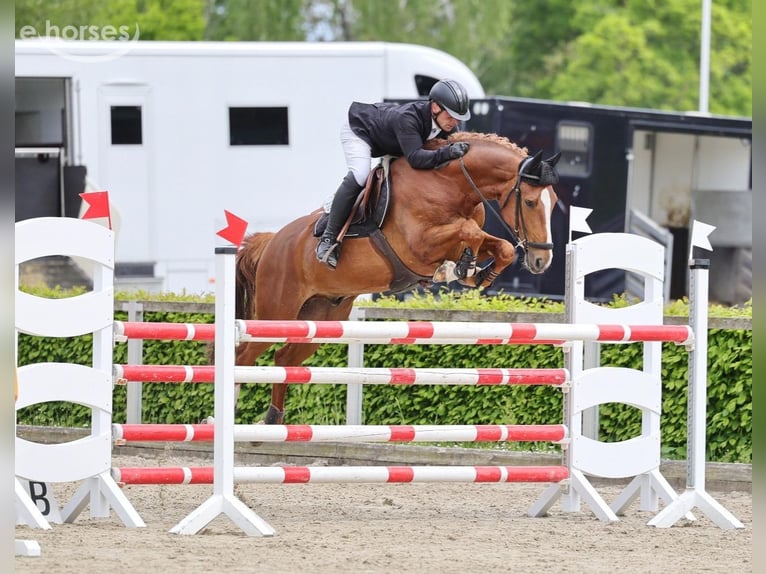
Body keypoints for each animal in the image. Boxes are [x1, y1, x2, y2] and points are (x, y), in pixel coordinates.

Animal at [234, 131, 561, 424]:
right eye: (530, 202)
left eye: (554, 202)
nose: (542, 260)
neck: (450, 183)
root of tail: (271, 241)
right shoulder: (421, 244)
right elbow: (469, 230)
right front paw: (455, 269)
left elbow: (498, 246)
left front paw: (474, 275)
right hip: (277, 312)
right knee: (243, 356)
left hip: (321, 317)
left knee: (283, 360)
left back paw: (273, 419)